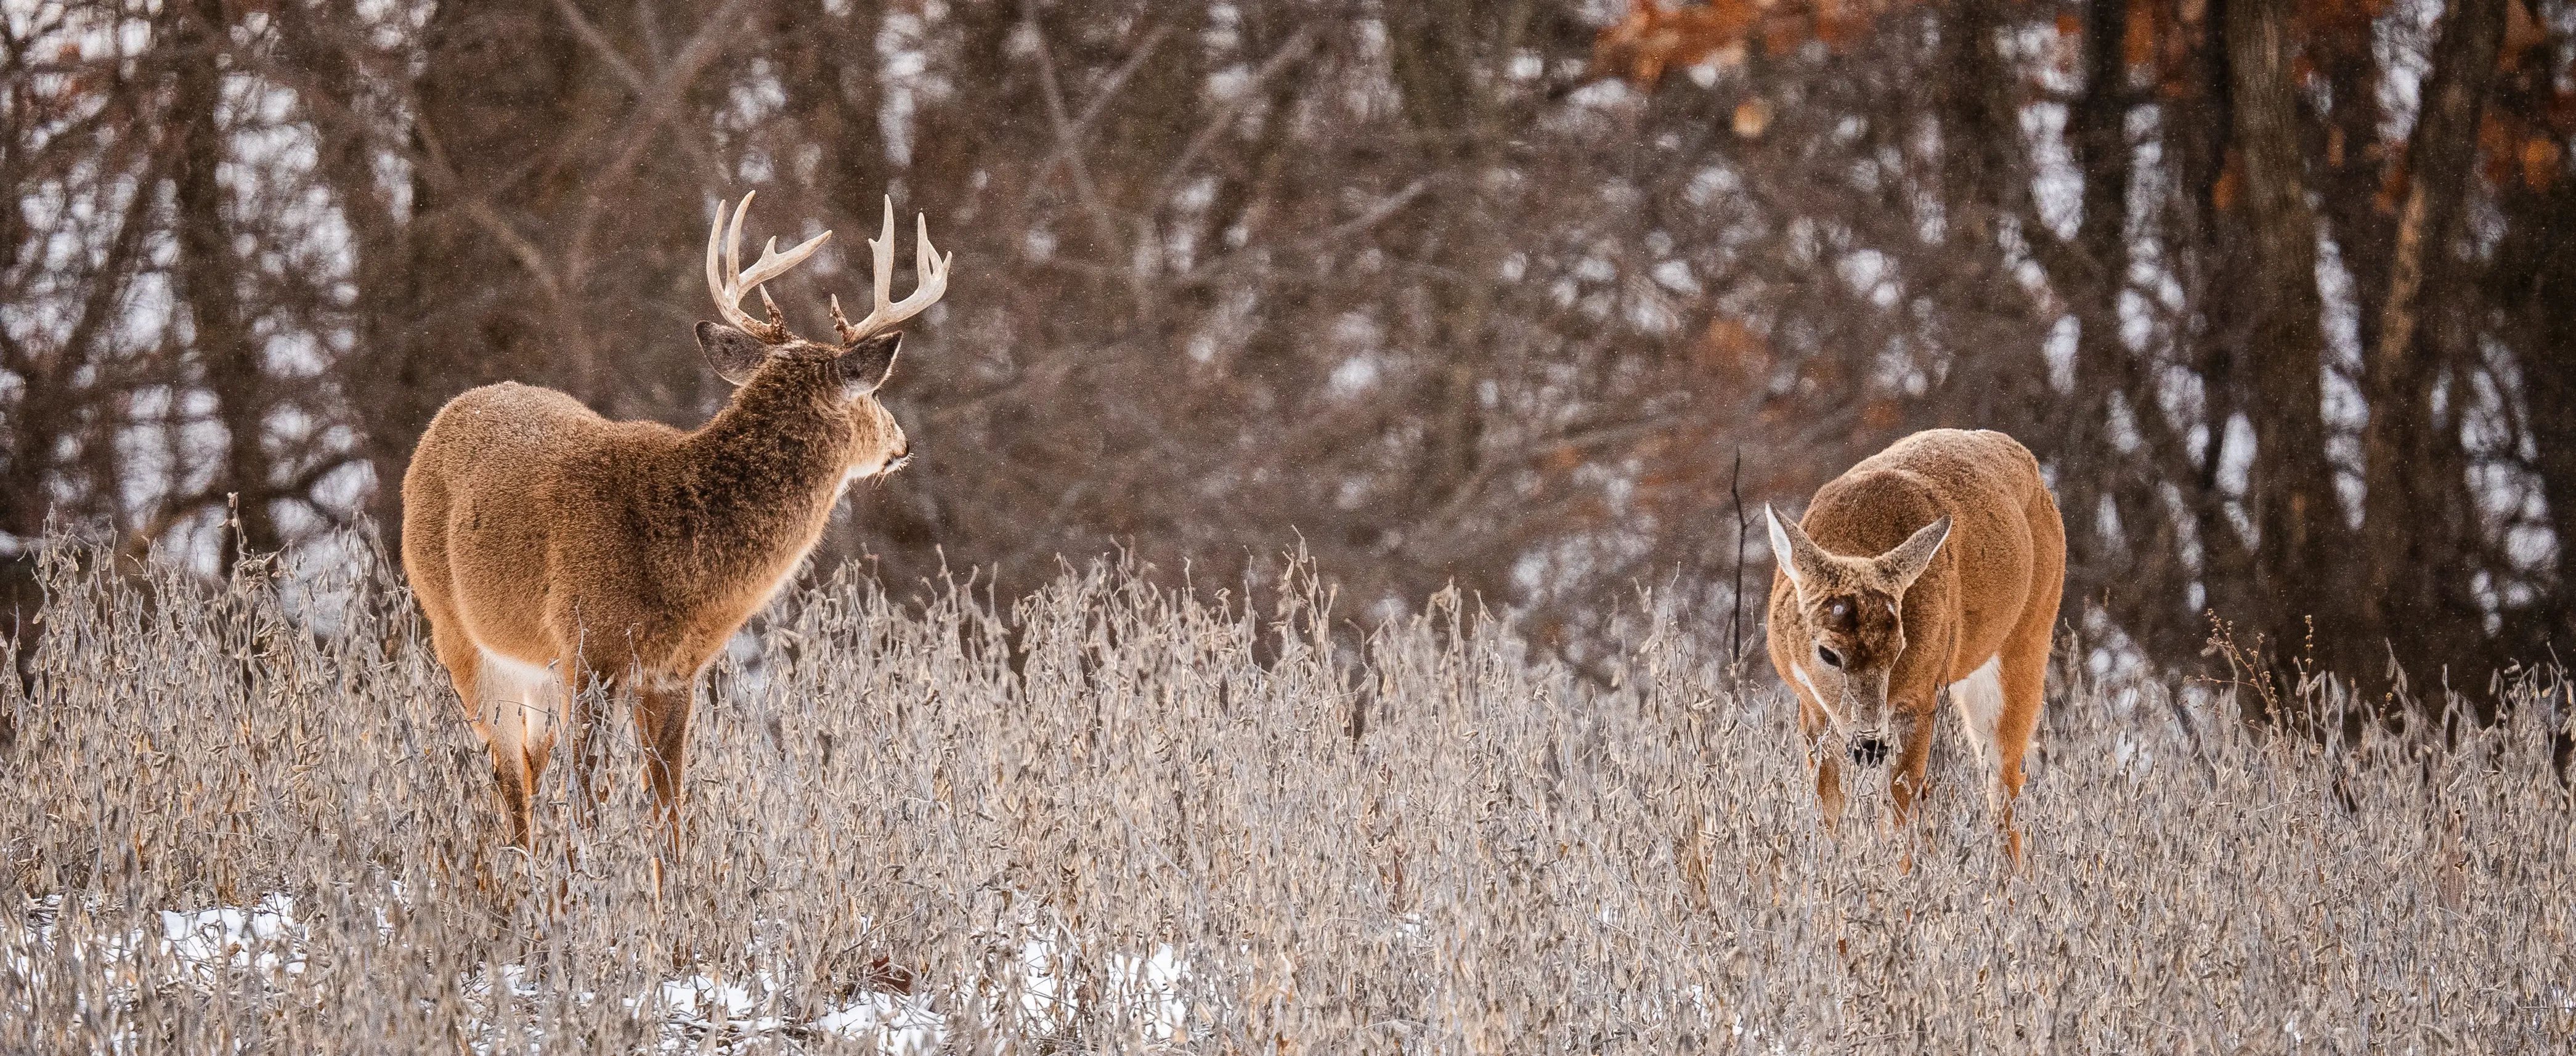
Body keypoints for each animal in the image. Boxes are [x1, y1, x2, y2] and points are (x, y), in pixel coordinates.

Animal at [401, 191, 949, 848]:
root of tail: (442, 419)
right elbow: (587, 803)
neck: (678, 545)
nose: (902, 442)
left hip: (536, 669)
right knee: (511, 787)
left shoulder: (674, 673)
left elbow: (669, 817)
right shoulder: (589, 649)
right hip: (459, 635)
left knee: (531, 771)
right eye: (871, 394)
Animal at [1763, 429, 2065, 860]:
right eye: (1827, 653)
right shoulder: (1812, 707)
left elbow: (1898, 819)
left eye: (1898, 650)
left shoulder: (1918, 700)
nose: (1870, 745)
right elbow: (1828, 814)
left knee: (2003, 785)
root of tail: (2035, 469)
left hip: (2026, 640)